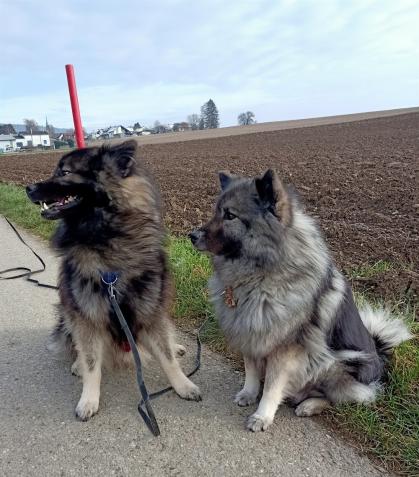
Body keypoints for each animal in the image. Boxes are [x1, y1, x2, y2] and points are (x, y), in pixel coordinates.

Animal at [189, 170, 410, 432]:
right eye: (216, 212)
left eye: (230, 215)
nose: (191, 235)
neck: (260, 275)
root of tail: (379, 354)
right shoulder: (250, 332)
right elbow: (251, 371)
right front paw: (248, 394)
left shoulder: (285, 349)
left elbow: (272, 387)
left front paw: (262, 416)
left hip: (335, 361)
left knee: (338, 398)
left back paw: (309, 405)